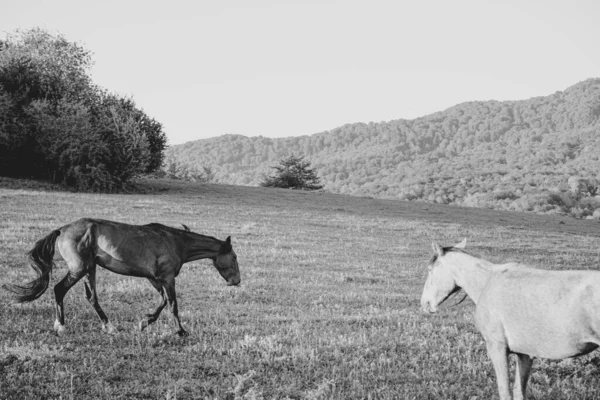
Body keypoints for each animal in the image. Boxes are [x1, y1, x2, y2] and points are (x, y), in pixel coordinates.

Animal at [2, 220, 241, 336]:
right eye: (235, 257)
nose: (236, 281)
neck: (175, 241)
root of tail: (61, 230)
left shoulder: (155, 279)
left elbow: (163, 301)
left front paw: (144, 322)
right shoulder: (167, 278)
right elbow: (173, 304)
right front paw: (180, 331)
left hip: (90, 269)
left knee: (92, 298)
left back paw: (108, 326)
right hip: (79, 269)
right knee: (59, 289)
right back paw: (60, 326)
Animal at [422, 241, 600, 400]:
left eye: (430, 270)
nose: (424, 303)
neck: (487, 282)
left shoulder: (497, 347)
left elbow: (505, 392)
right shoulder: (524, 354)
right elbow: (519, 392)